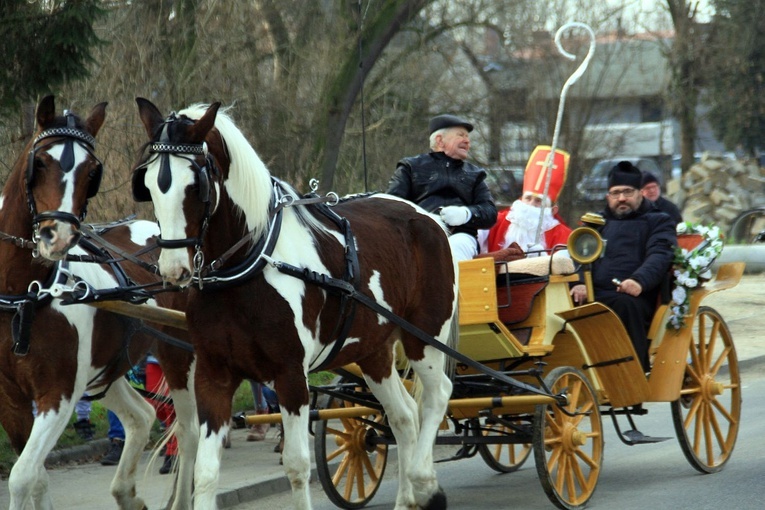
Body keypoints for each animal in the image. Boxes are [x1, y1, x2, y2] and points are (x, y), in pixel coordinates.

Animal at [1, 96, 197, 510]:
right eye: (40, 162)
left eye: (92, 172)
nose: (57, 237)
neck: (25, 295)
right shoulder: (9, 399)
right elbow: (37, 477)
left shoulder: (58, 394)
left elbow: (22, 476)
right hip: (108, 368)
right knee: (142, 415)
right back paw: (126, 492)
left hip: (180, 356)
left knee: (189, 432)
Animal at [132, 99, 456, 510]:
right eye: (149, 185)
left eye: (195, 185)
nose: (174, 269)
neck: (247, 270)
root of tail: (426, 216)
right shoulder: (212, 375)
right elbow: (205, 473)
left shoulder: (290, 376)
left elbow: (298, 465)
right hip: (373, 351)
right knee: (403, 416)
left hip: (424, 336)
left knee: (437, 395)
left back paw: (424, 480)